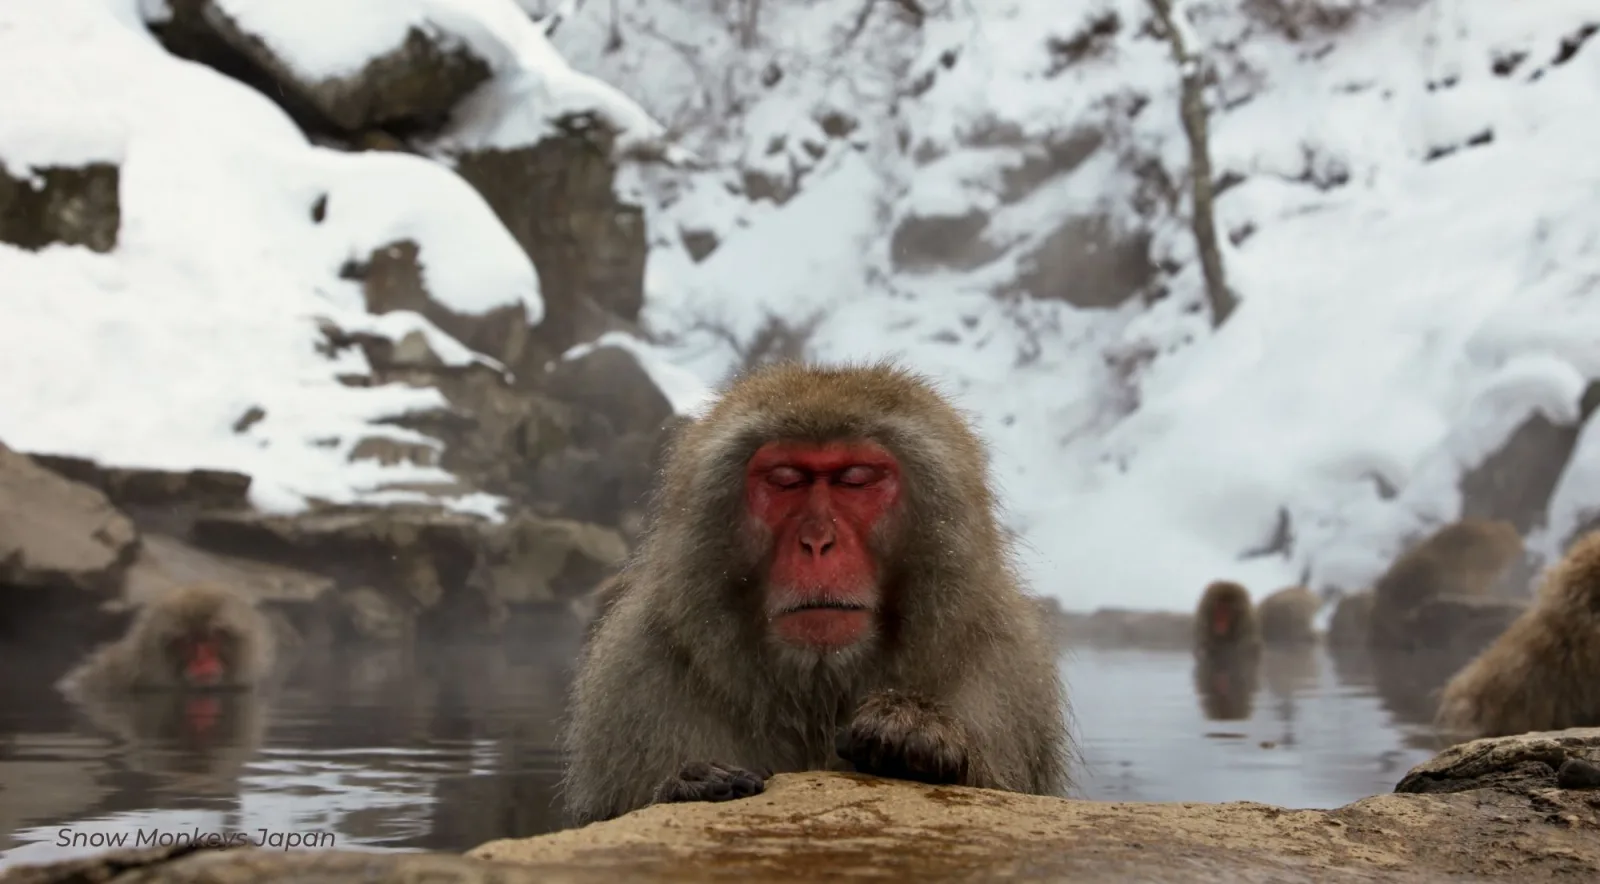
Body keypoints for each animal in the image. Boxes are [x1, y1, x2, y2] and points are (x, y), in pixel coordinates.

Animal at [560, 361, 1073, 825]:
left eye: (855, 479)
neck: (817, 700)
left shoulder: (1008, 674)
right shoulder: (633, 676)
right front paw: (690, 785)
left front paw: (915, 736)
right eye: (786, 480)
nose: (818, 542)